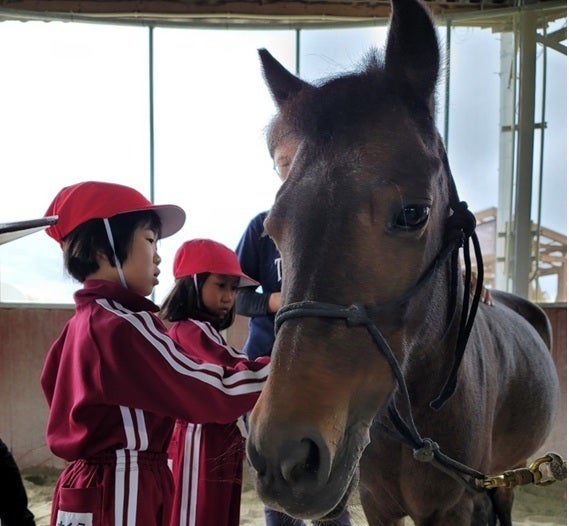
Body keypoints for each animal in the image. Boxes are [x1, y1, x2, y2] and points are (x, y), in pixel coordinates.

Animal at [245, 0, 561, 524]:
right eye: (273, 228)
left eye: (414, 214)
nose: (284, 457)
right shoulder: (378, 503)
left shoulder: (454, 507)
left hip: (507, 477)